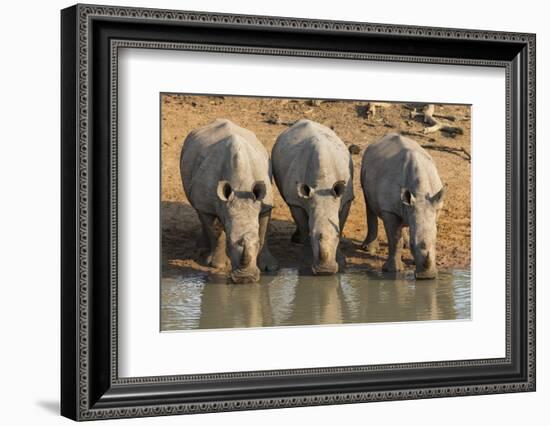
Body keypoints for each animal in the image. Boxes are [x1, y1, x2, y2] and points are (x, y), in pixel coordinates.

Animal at [180, 118, 278, 282]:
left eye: (257, 243)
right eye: (230, 244)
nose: (245, 279)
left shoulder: (264, 205)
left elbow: (263, 231)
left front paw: (269, 266)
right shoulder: (207, 204)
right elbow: (215, 232)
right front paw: (217, 265)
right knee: (199, 210)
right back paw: (201, 249)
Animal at [274, 118, 356, 274]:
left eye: (337, 237)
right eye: (313, 235)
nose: (325, 271)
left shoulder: (346, 198)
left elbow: (341, 224)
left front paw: (341, 263)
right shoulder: (296, 202)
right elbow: (304, 226)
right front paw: (306, 263)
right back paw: (296, 240)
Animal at [362, 133, 448, 280]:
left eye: (436, 243)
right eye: (414, 245)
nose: (427, 277)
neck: (420, 194)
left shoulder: (434, 206)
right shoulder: (389, 210)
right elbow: (394, 239)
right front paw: (393, 270)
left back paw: (404, 244)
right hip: (364, 165)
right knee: (369, 203)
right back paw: (370, 249)